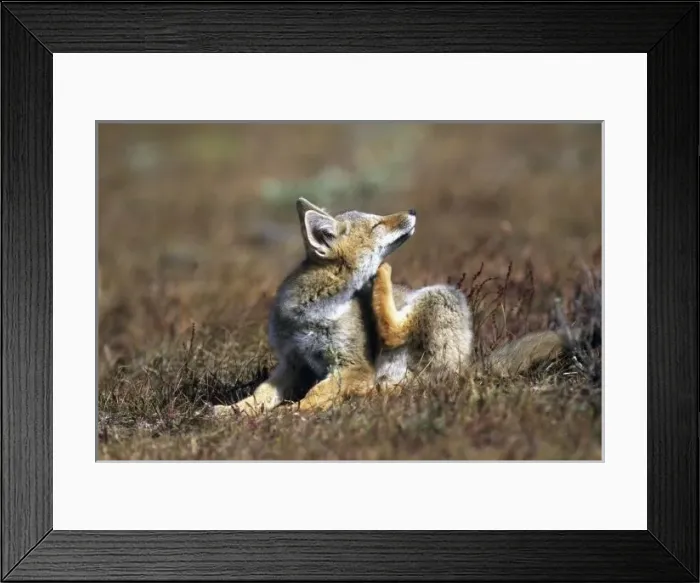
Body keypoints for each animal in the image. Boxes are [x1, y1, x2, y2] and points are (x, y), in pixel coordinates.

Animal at [212, 197, 569, 418]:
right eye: (377, 226)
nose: (413, 210)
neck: (312, 313)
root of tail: (469, 366)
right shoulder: (293, 363)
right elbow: (260, 395)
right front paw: (234, 412)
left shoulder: (354, 366)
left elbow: (314, 394)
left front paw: (293, 413)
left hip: (444, 296)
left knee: (397, 339)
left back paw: (381, 278)